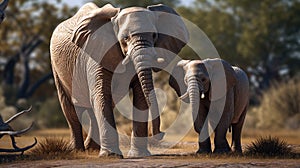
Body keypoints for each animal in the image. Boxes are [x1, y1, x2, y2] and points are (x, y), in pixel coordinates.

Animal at [50, 2, 189, 158]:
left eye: (154, 35)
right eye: (125, 38)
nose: (160, 134)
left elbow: (140, 96)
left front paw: (138, 156)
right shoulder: (97, 53)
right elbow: (101, 94)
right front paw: (111, 155)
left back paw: (92, 149)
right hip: (57, 68)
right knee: (72, 109)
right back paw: (77, 150)